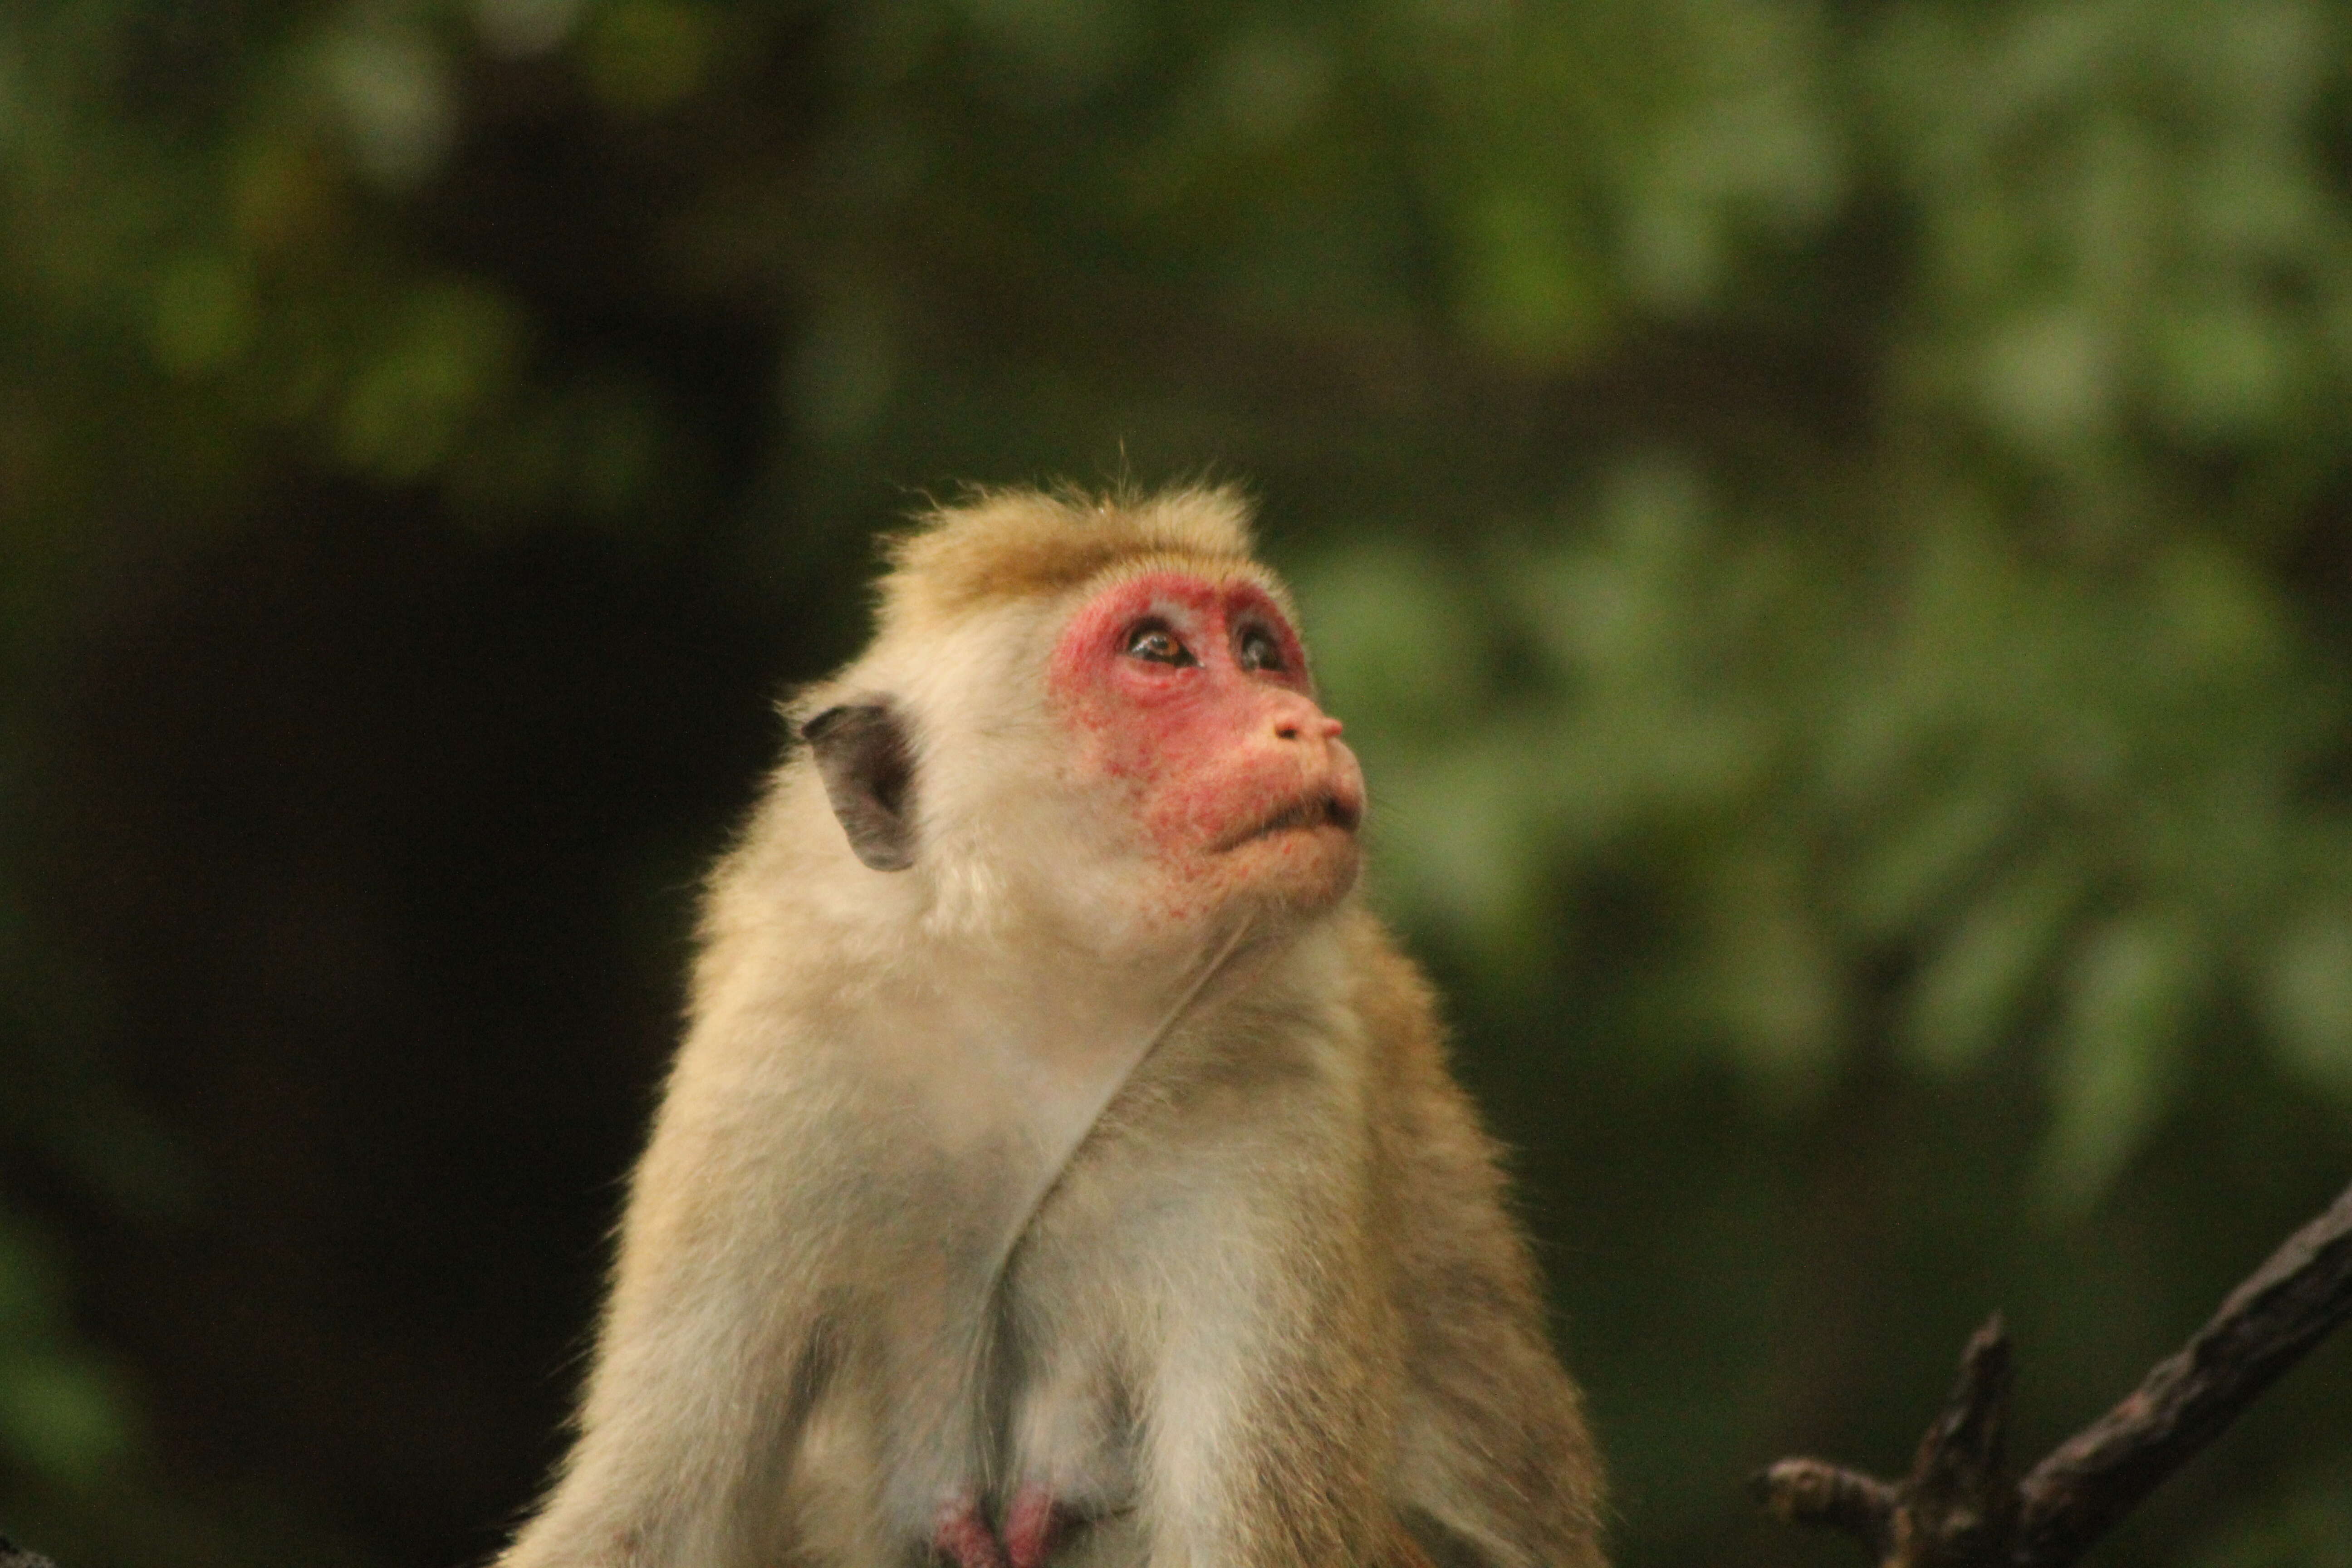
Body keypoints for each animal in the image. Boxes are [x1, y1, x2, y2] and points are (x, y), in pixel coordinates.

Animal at [494, 491, 1599, 1568]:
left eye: (1257, 652)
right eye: (1158, 651)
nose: (1306, 723)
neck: (1042, 1022)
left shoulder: (1279, 1092)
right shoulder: (777, 1058)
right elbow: (644, 1518)